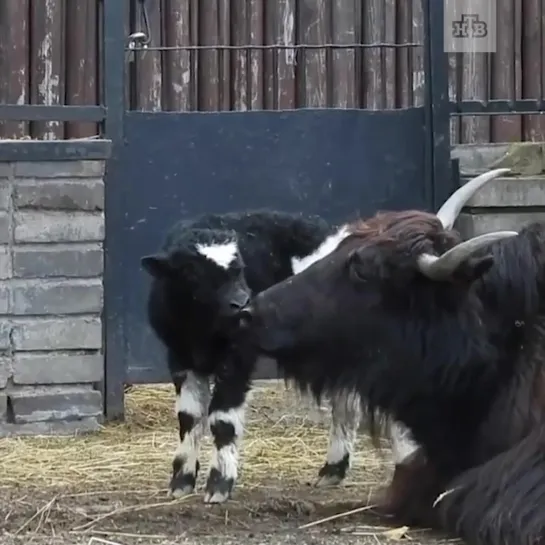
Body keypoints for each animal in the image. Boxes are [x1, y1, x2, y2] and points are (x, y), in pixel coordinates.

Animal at [142, 209, 376, 502]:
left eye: (241, 268)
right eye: (191, 273)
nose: (243, 303)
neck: (202, 330)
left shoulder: (238, 357)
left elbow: (223, 419)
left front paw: (219, 484)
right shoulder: (180, 358)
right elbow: (188, 416)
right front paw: (181, 480)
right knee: (346, 402)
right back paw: (334, 470)